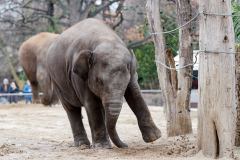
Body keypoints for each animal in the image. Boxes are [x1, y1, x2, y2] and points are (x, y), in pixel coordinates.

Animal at [45, 18, 161, 148]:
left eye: (125, 83)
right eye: (100, 82)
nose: (125, 145)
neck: (106, 39)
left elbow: (135, 94)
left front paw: (154, 137)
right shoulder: (78, 76)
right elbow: (92, 104)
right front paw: (101, 146)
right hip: (56, 80)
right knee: (71, 109)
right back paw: (83, 145)